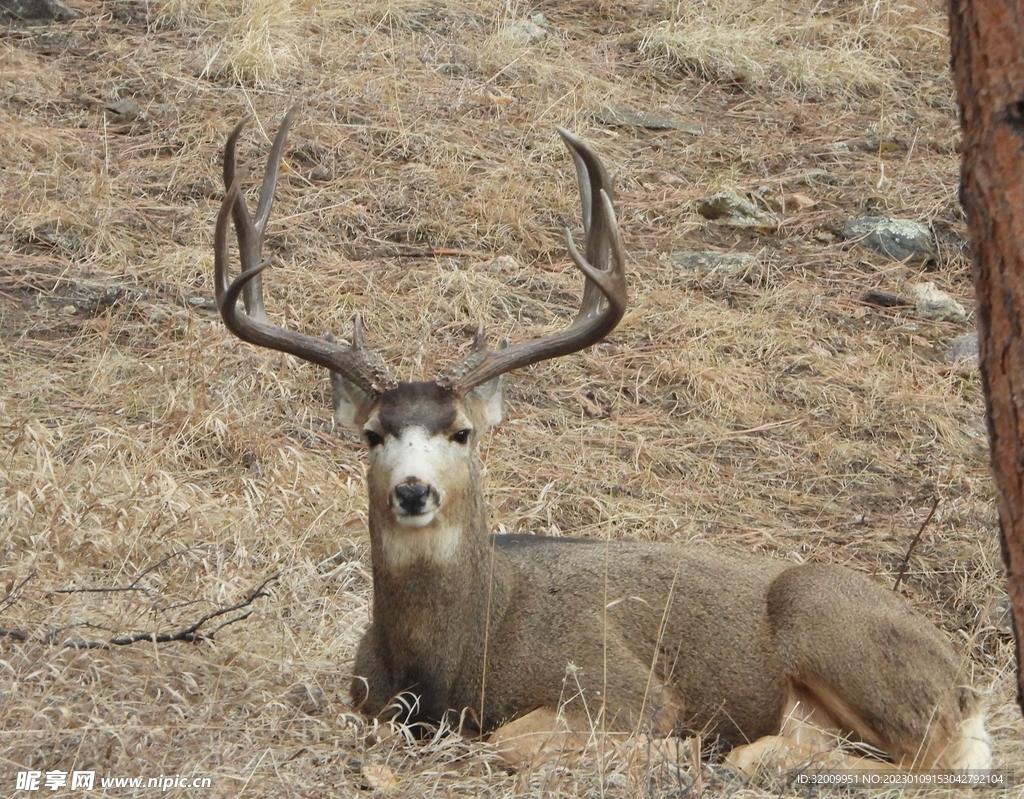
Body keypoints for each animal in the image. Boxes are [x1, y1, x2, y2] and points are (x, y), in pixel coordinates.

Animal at [213, 107, 992, 775]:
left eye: (462, 431)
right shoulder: (364, 698)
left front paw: (677, 748)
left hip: (827, 619)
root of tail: (964, 683)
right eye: (374, 434)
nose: (412, 491)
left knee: (931, 760)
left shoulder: (619, 685)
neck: (449, 662)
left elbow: (513, 737)